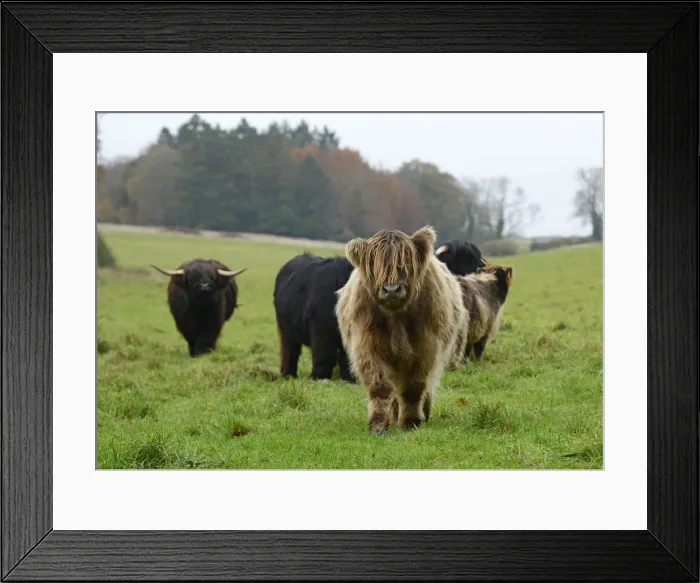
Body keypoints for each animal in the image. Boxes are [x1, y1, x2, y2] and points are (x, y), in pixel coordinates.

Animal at [273, 252, 356, 382]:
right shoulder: (322, 330)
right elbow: (324, 356)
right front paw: (319, 377)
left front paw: (349, 379)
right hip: (287, 331)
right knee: (290, 351)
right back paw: (288, 375)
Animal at [335, 226, 468, 435]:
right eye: (374, 262)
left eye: (405, 262)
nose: (391, 290)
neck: (396, 316)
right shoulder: (368, 344)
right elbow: (380, 386)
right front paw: (378, 425)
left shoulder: (425, 346)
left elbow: (414, 386)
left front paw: (411, 421)